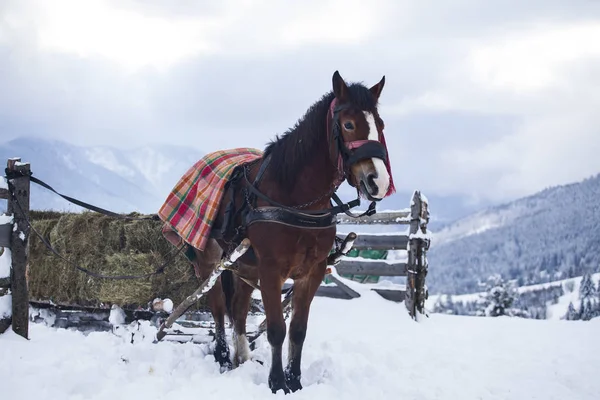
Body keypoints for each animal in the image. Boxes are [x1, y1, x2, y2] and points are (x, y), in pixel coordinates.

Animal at [188, 70, 394, 392]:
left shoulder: (313, 270)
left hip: (244, 266)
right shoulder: (271, 270)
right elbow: (276, 329)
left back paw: (241, 358)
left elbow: (298, 329)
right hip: (209, 262)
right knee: (219, 307)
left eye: (380, 125)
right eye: (348, 124)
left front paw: (294, 380)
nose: (379, 182)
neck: (296, 199)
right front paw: (276, 383)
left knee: (239, 309)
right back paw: (222, 357)